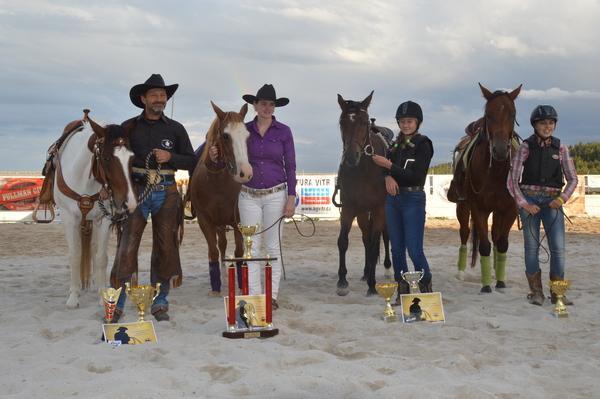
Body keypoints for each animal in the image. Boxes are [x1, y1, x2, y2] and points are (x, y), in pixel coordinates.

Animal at [51, 111, 137, 308]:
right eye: (106, 158)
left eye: (132, 158)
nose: (129, 203)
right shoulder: (69, 219)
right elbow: (75, 256)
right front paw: (73, 297)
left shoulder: (103, 219)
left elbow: (100, 257)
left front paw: (102, 295)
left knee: (93, 248)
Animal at [189, 101, 252, 296]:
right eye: (225, 136)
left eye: (247, 136)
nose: (245, 173)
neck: (216, 183)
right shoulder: (205, 221)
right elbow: (214, 251)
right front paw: (216, 285)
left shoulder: (238, 220)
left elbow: (239, 252)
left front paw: (241, 283)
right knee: (221, 245)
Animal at [332, 91, 390, 296]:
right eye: (342, 122)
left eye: (364, 122)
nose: (351, 157)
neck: (364, 170)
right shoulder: (349, 208)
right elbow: (343, 241)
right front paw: (342, 281)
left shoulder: (380, 210)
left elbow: (374, 246)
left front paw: (372, 285)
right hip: (363, 213)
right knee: (366, 238)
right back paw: (366, 272)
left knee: (385, 238)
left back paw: (387, 269)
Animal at [458, 83, 524, 294]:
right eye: (488, 114)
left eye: (513, 113)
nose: (501, 150)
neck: (496, 171)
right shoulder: (479, 208)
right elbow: (484, 246)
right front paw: (486, 285)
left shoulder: (510, 209)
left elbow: (501, 243)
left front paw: (500, 282)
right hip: (463, 206)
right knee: (465, 233)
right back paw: (461, 273)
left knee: (495, 235)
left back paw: (496, 271)